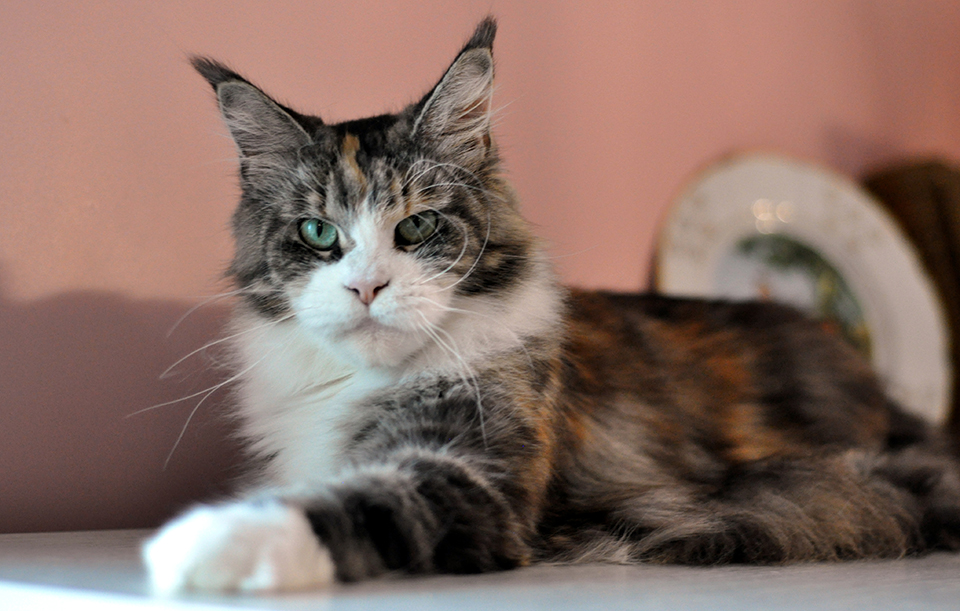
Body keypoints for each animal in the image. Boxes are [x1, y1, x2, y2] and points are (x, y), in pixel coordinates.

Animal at [141, 16, 960, 596]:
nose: (367, 287)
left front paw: (206, 540)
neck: (362, 384)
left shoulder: (469, 472)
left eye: (417, 227)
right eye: (318, 233)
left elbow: (356, 500)